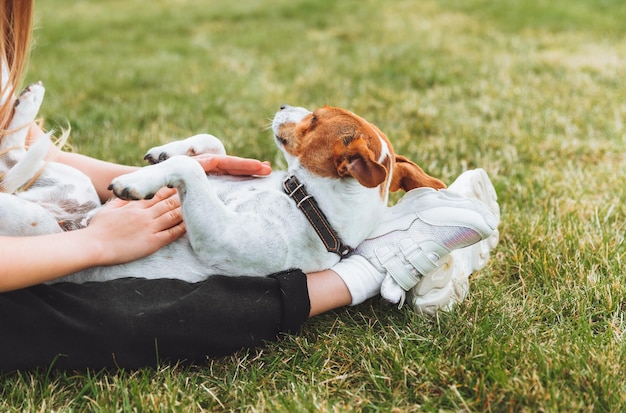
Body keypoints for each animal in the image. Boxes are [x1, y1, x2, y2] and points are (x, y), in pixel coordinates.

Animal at [0, 84, 444, 284]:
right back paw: (26, 103)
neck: (302, 198)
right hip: (72, 184)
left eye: (314, 119)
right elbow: (212, 144)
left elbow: (191, 169)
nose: (283, 104)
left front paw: (141, 180)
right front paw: (167, 151)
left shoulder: (221, 240)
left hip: (32, 226)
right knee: (15, 155)